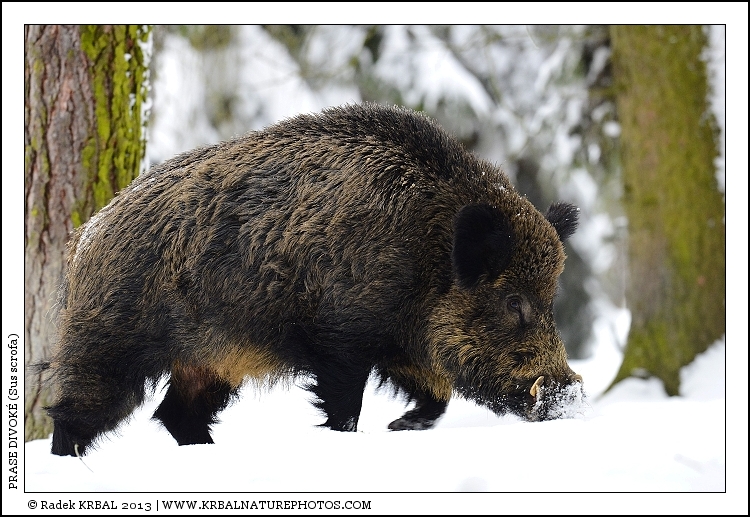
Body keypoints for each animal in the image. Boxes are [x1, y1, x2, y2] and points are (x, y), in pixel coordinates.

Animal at [43, 103, 584, 456]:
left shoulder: (400, 345)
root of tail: (86, 236)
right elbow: (345, 407)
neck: (426, 251)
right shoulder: (342, 339)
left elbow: (437, 395)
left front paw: (401, 427)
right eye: (514, 301)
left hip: (210, 363)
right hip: (109, 346)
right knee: (74, 413)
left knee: (177, 413)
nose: (570, 395)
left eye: (551, 300)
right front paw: (360, 435)